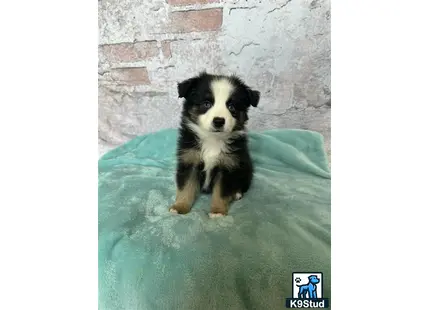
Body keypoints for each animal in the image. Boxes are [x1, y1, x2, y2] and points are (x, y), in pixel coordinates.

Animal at [170, 72, 260, 218]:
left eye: (231, 107)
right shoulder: (189, 160)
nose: (218, 121)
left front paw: (217, 211)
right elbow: (186, 187)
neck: (213, 140)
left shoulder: (228, 165)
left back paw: (236, 193)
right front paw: (179, 207)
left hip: (246, 168)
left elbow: (221, 192)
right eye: (206, 104)